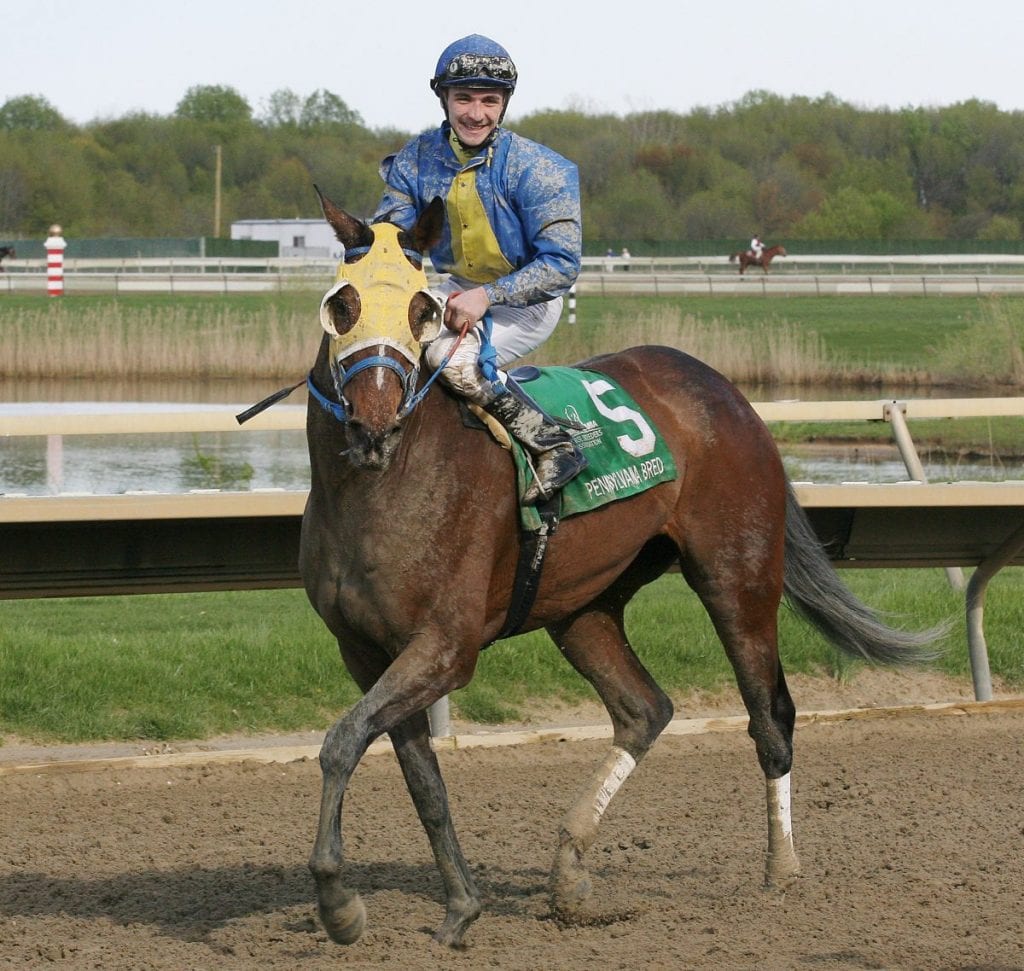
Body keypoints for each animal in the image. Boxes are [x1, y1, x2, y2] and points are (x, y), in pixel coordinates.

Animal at [296, 191, 937, 946]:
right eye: (342, 303)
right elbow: (416, 772)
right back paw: (570, 869)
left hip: (737, 575)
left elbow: (342, 742)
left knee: (770, 714)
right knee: (644, 709)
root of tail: (721, 386)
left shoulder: (445, 648)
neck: (382, 485)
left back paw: (782, 868)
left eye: (424, 308)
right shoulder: (367, 649)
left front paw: (339, 902)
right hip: (584, 605)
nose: (373, 425)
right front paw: (460, 906)